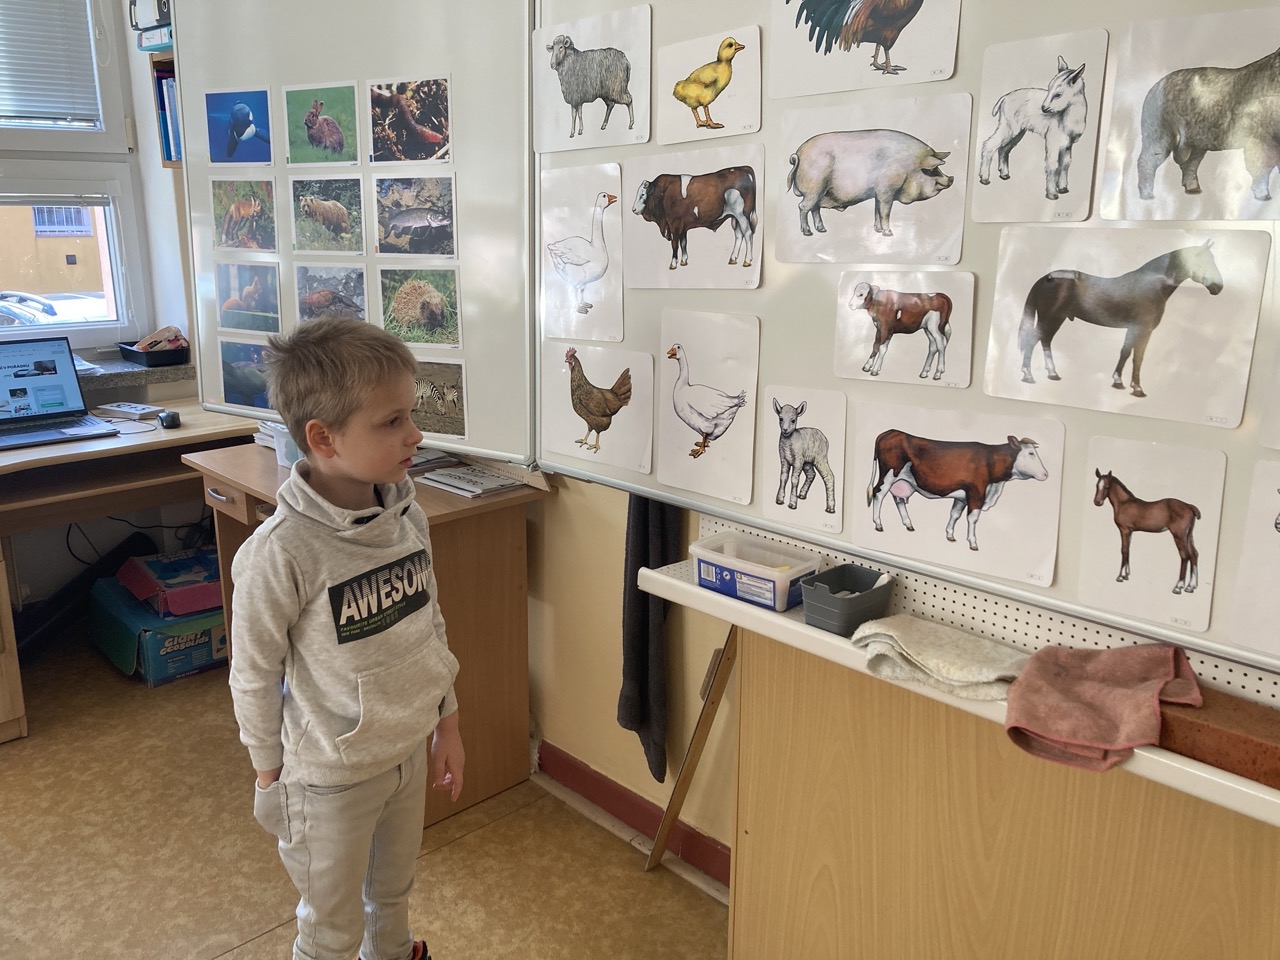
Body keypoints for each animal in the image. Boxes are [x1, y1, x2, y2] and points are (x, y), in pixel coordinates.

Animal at [866, 430, 1049, 551]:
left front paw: (950, 535)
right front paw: (973, 543)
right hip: (888, 474)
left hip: (902, 480)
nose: (1046, 474)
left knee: (898, 499)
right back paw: (878, 524)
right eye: (1031, 453)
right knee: (878, 493)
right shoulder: (976, 492)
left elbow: (954, 514)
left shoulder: (962, 496)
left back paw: (908, 524)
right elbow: (973, 518)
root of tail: (890, 432)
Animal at [978, 57, 1088, 201]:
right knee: (989, 145)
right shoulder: (1052, 139)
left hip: (1018, 131)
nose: (1044, 108)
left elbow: (1065, 164)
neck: (1070, 120)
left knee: (1004, 149)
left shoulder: (1068, 144)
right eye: (1049, 89)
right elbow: (1053, 165)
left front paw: (1063, 189)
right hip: (1008, 126)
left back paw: (1004, 174)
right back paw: (984, 179)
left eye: (1058, 94)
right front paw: (1052, 194)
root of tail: (1004, 98)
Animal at [1018, 240, 1223, 397]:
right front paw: (1136, 388)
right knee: (1034, 340)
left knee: (1045, 340)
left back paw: (1052, 373)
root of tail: (1046, 278)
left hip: (1056, 319)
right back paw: (1028, 376)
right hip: (1050, 318)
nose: (1218, 287)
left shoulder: (1134, 329)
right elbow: (1136, 356)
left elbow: (1126, 352)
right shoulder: (1142, 329)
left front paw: (1120, 382)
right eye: (1203, 261)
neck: (1152, 285)